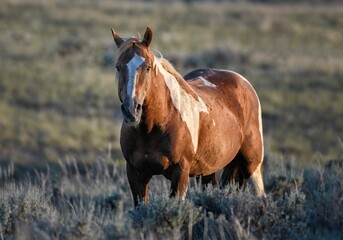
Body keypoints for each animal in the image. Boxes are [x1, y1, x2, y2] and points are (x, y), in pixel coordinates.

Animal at [111, 26, 266, 206]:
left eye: (148, 68)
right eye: (118, 67)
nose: (131, 110)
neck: (152, 127)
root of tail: (243, 82)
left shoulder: (180, 172)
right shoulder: (135, 173)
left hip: (252, 164)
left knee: (260, 193)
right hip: (208, 171)